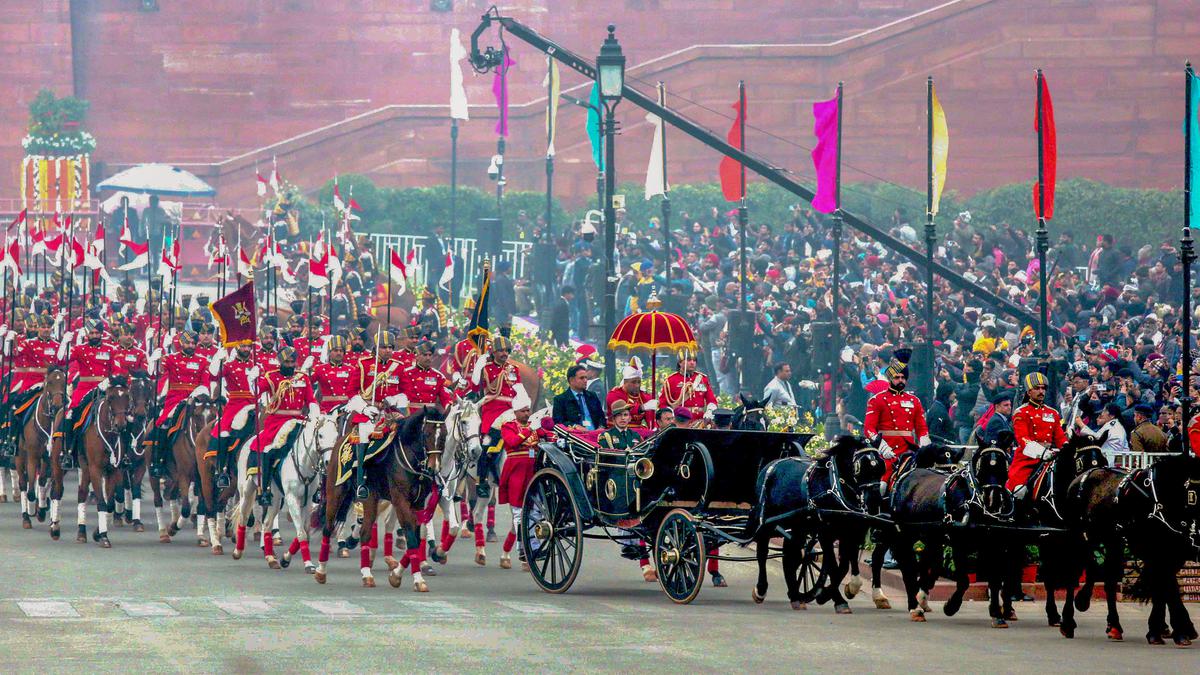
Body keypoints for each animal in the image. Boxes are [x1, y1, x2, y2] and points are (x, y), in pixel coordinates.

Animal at [15, 365, 67, 528]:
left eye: (64, 382)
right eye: (49, 382)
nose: (57, 405)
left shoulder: (49, 457)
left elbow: (44, 481)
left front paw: (42, 510)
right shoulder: (32, 455)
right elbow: (31, 489)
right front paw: (33, 509)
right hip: (20, 455)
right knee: (23, 482)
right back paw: (26, 516)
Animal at [230, 413, 340, 564]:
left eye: (336, 435)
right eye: (321, 435)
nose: (329, 463)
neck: (303, 463)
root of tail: (249, 441)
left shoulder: (307, 500)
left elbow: (305, 529)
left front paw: (286, 558)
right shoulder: (291, 498)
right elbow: (302, 533)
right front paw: (308, 564)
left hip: (276, 498)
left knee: (267, 522)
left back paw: (270, 557)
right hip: (246, 489)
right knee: (244, 516)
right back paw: (238, 551)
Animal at [316, 403, 448, 588]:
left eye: (444, 435)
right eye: (427, 434)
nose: (433, 468)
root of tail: (340, 441)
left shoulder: (419, 503)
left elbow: (414, 537)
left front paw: (396, 575)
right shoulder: (400, 501)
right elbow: (411, 536)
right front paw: (417, 579)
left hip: (371, 498)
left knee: (365, 531)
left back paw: (366, 574)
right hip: (336, 494)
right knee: (328, 528)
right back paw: (321, 571)